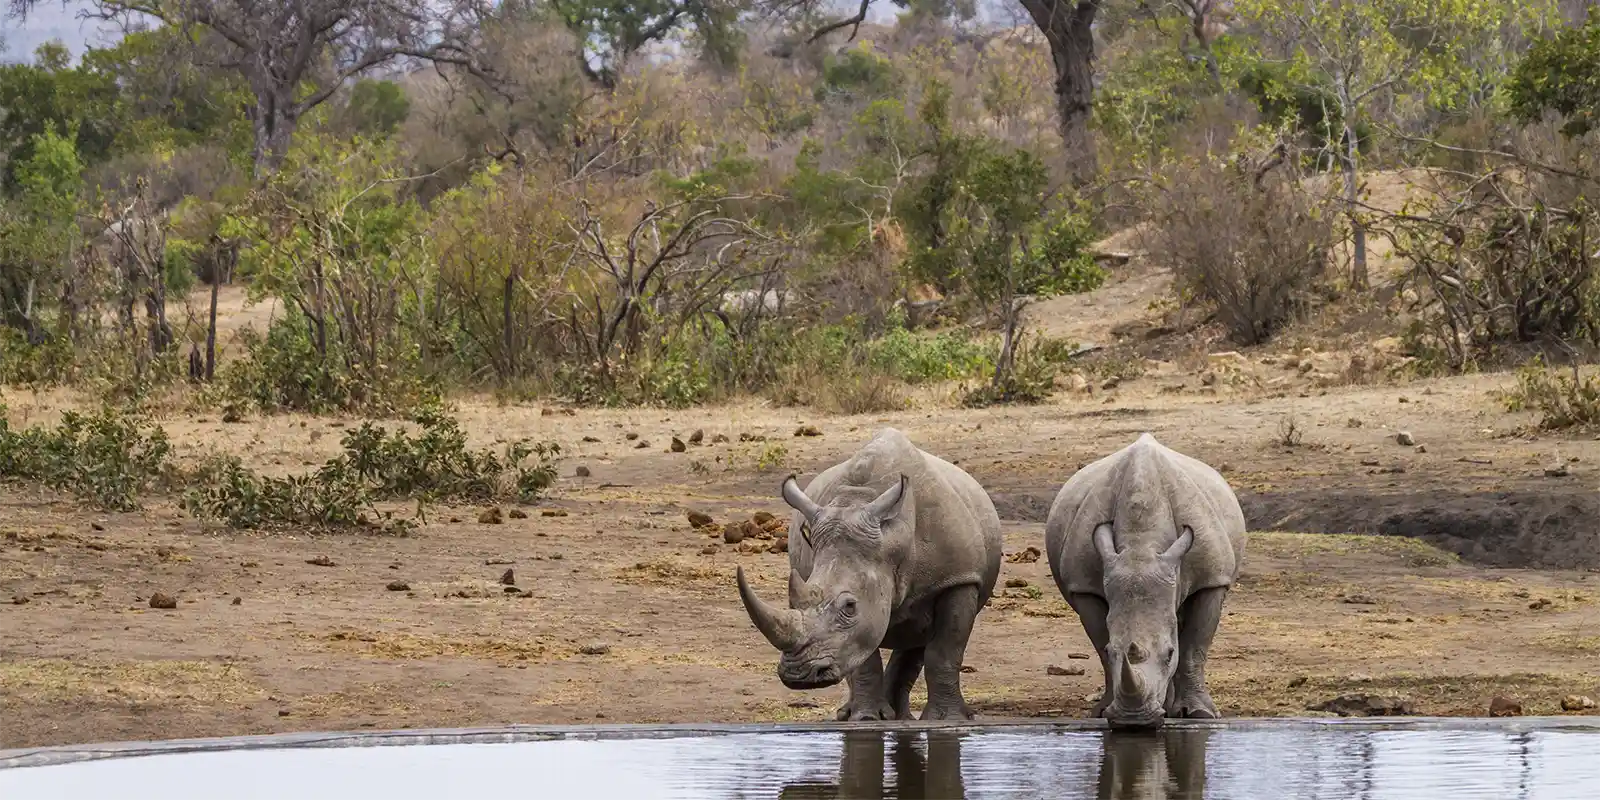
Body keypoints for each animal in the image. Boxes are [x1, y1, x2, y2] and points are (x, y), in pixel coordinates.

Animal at [736, 428, 1003, 720]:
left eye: (850, 606)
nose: (799, 676)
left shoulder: (958, 579)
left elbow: (945, 650)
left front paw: (947, 720)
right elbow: (863, 655)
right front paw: (866, 719)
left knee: (919, 637)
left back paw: (901, 717)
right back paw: (861, 714)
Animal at [1045, 434, 1246, 729]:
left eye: (1169, 653)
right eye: (1112, 650)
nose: (1134, 721)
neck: (1141, 545)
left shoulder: (1212, 579)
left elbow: (1195, 646)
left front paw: (1200, 714)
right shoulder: (1083, 586)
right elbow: (1100, 646)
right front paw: (1104, 711)